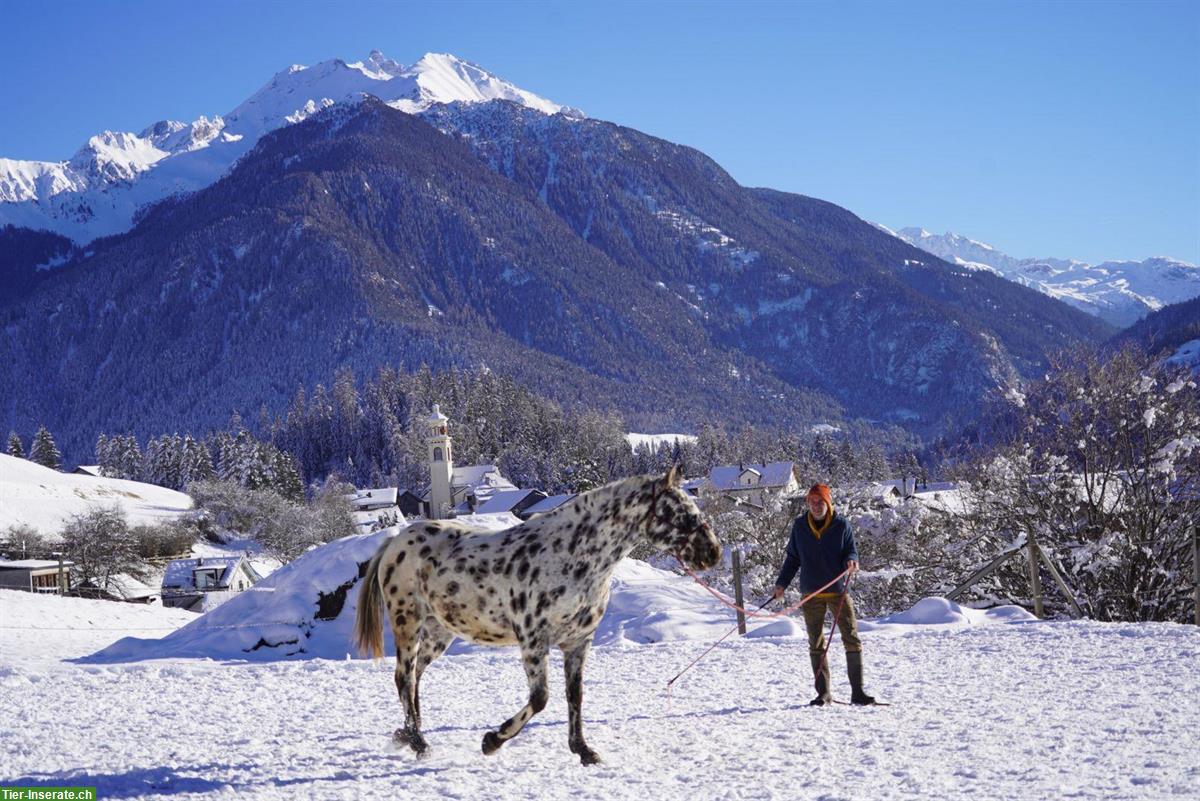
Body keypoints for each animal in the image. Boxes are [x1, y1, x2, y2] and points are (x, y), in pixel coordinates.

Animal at [350, 465, 715, 767]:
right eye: (681, 514)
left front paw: (584, 751)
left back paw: (408, 735)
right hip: (407, 623)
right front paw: (492, 741)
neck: (575, 556)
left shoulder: (578, 643)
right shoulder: (533, 640)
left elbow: (575, 696)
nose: (712, 552)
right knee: (404, 677)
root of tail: (394, 542)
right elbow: (540, 699)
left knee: (415, 678)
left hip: (440, 632)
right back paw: (418, 742)